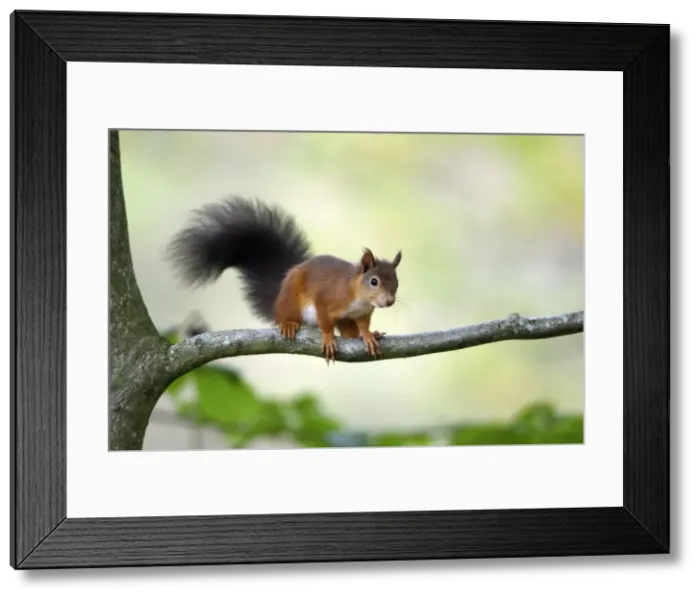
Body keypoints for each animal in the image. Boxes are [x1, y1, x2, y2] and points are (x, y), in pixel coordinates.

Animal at [166, 196, 402, 363]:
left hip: (343, 319)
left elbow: (362, 326)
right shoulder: (327, 299)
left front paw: (368, 335)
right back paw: (288, 324)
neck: (359, 298)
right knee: (286, 317)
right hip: (291, 299)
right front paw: (328, 338)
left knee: (348, 333)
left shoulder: (362, 314)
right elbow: (325, 321)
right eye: (374, 281)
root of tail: (277, 302)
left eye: (396, 282)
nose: (390, 301)